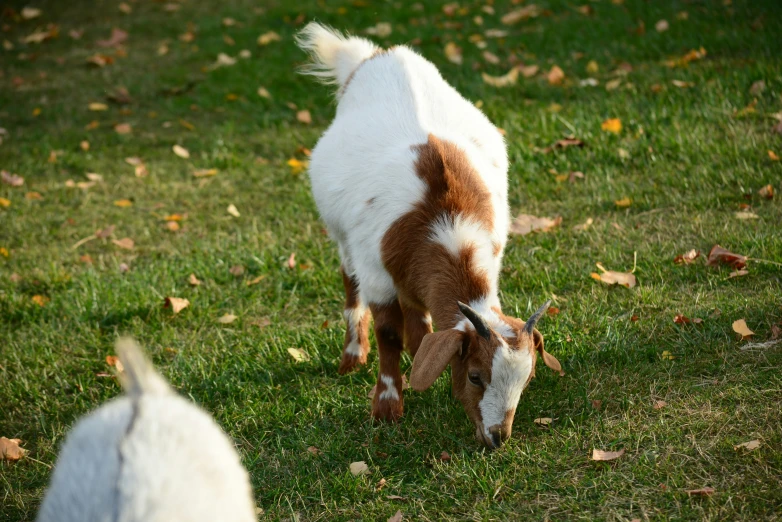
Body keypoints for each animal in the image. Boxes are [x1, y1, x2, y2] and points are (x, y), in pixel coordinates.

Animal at [296, 23, 564, 446]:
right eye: (475, 375)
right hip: (340, 233)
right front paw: (387, 407)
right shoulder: (376, 271)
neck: (445, 221)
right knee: (349, 280)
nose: (497, 437)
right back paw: (353, 356)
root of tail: (379, 55)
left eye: (527, 380)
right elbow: (388, 331)